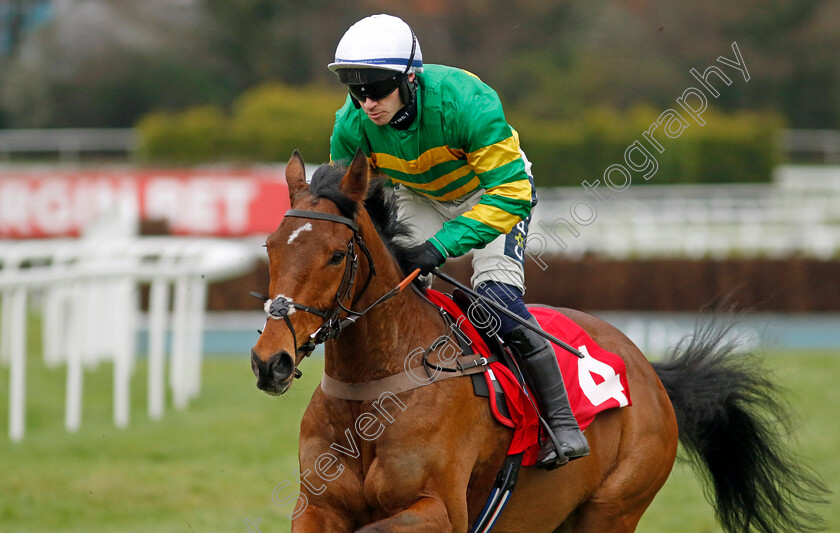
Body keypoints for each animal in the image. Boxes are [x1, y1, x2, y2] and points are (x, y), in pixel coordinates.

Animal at [251, 151, 828, 532]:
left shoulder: (440, 510)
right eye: (271, 245)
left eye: (334, 255)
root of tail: (648, 369)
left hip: (613, 508)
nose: (269, 361)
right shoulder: (317, 507)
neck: (377, 392)